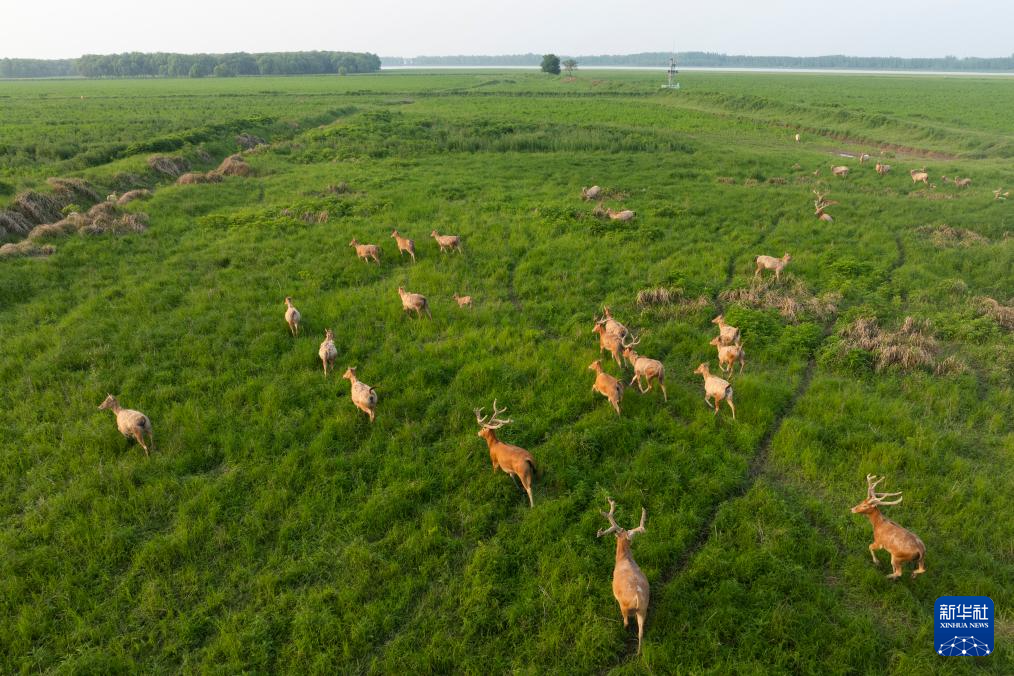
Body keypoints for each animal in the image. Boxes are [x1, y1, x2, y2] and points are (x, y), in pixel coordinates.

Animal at [597, 498, 649, 655]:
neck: (623, 559)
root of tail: (637, 597)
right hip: (643, 608)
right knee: (641, 631)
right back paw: (638, 653)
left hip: (624, 606)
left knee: (626, 622)